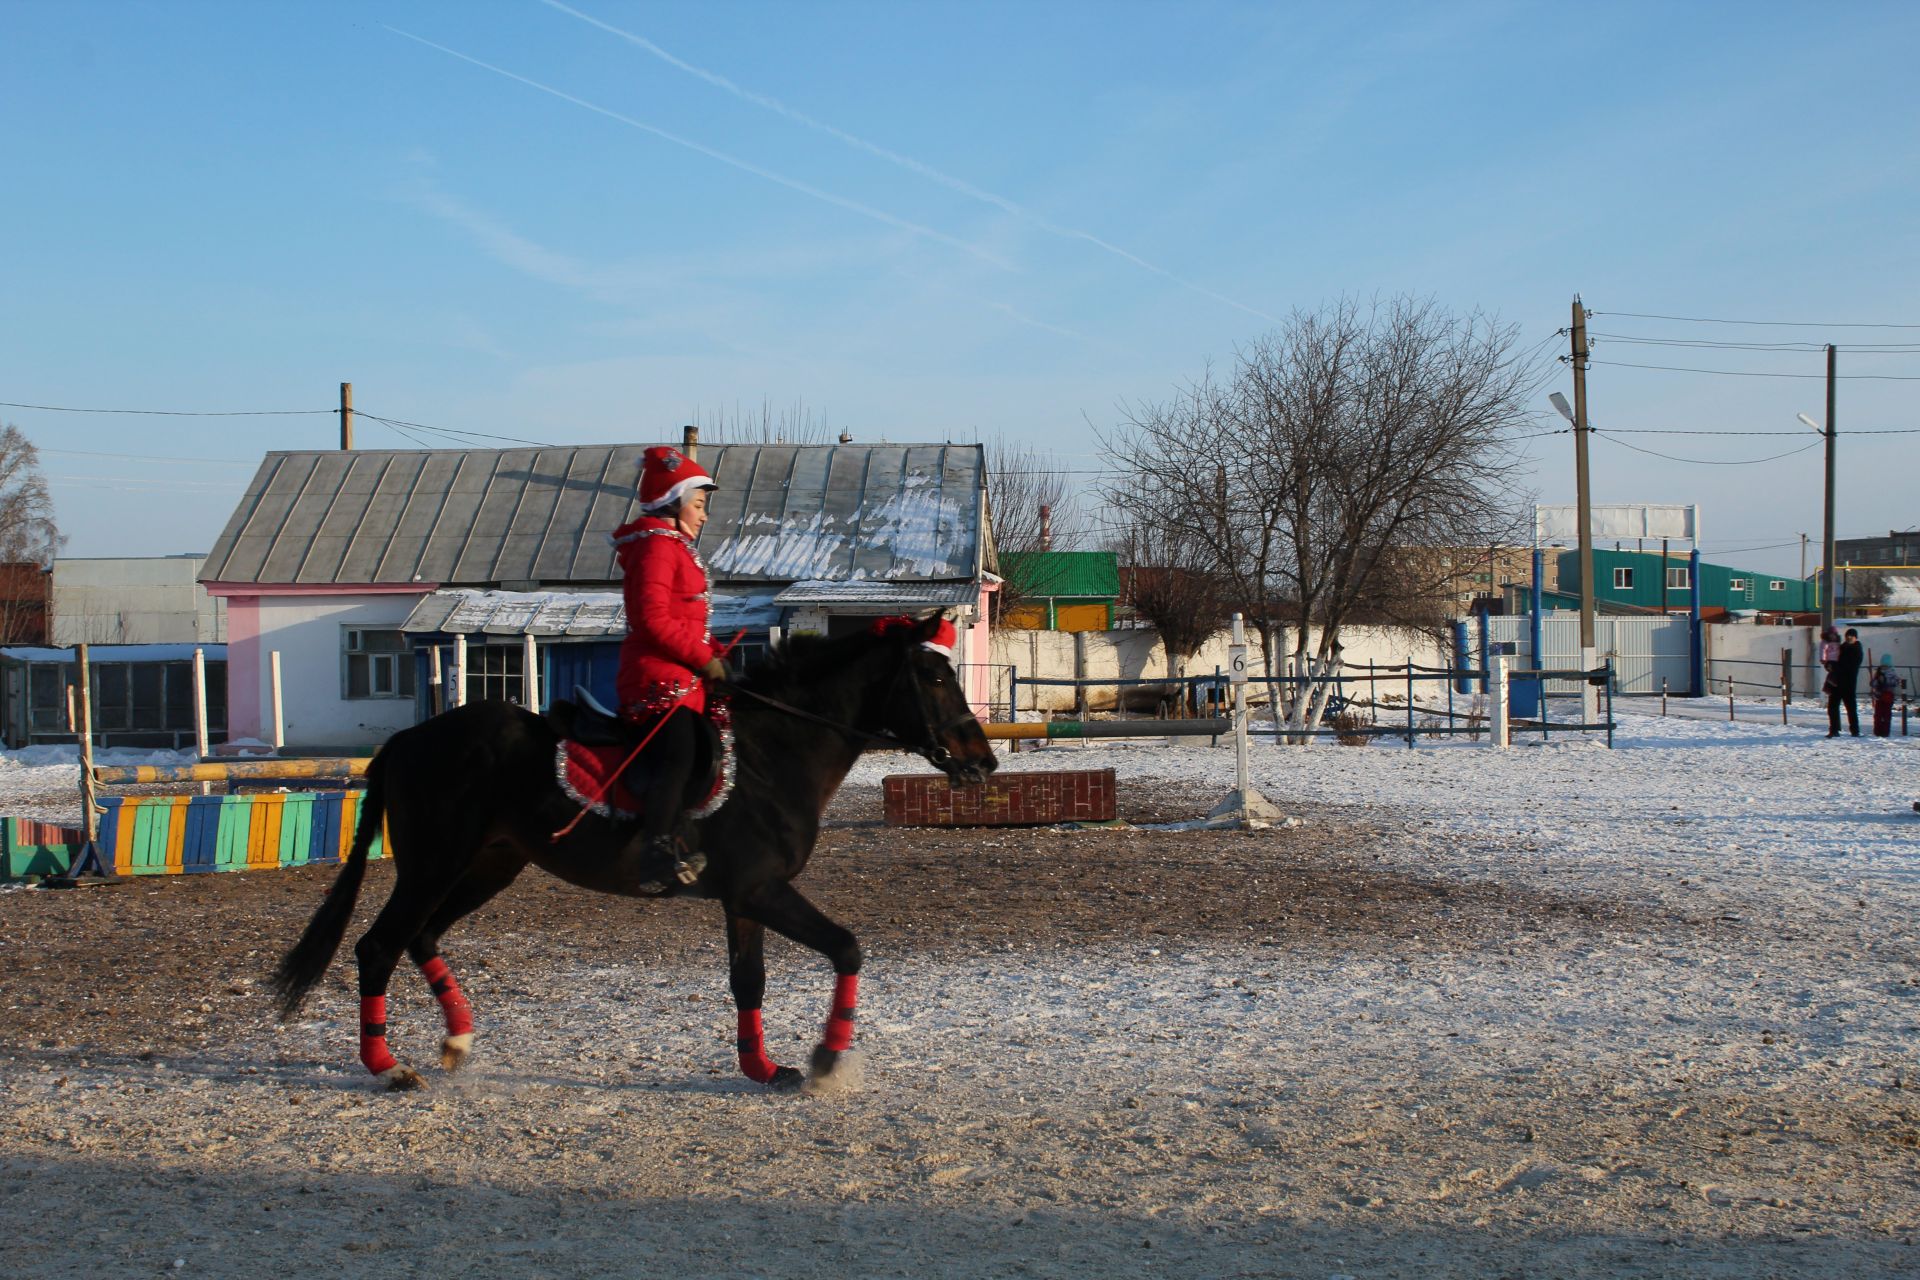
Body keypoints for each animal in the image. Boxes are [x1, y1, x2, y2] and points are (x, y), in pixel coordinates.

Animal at [278, 610, 998, 1090]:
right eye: (931, 675)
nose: (984, 761)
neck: (774, 753)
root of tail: (410, 738)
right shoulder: (762, 889)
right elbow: (846, 947)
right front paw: (826, 1059)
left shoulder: (745, 897)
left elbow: (749, 980)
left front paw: (763, 1067)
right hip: (433, 866)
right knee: (379, 946)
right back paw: (388, 1065)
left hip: (490, 865)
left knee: (422, 937)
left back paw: (456, 1039)